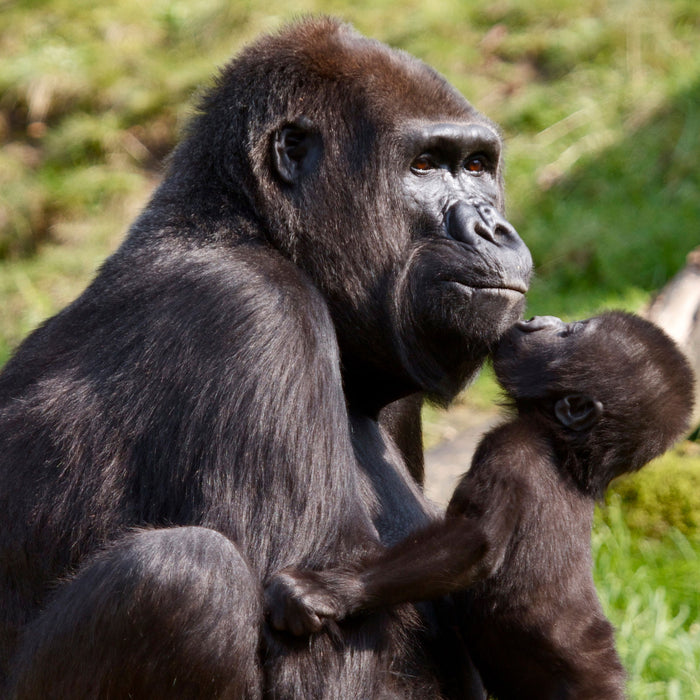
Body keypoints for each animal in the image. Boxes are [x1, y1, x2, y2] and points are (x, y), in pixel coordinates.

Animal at [0, 17, 532, 700]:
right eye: (422, 165)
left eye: (476, 165)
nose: (494, 229)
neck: (244, 222)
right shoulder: (256, 311)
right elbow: (311, 649)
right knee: (185, 579)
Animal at [264, 314, 696, 700]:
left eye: (569, 333)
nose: (539, 320)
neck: (566, 450)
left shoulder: (509, 447)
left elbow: (474, 542)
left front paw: (330, 591)